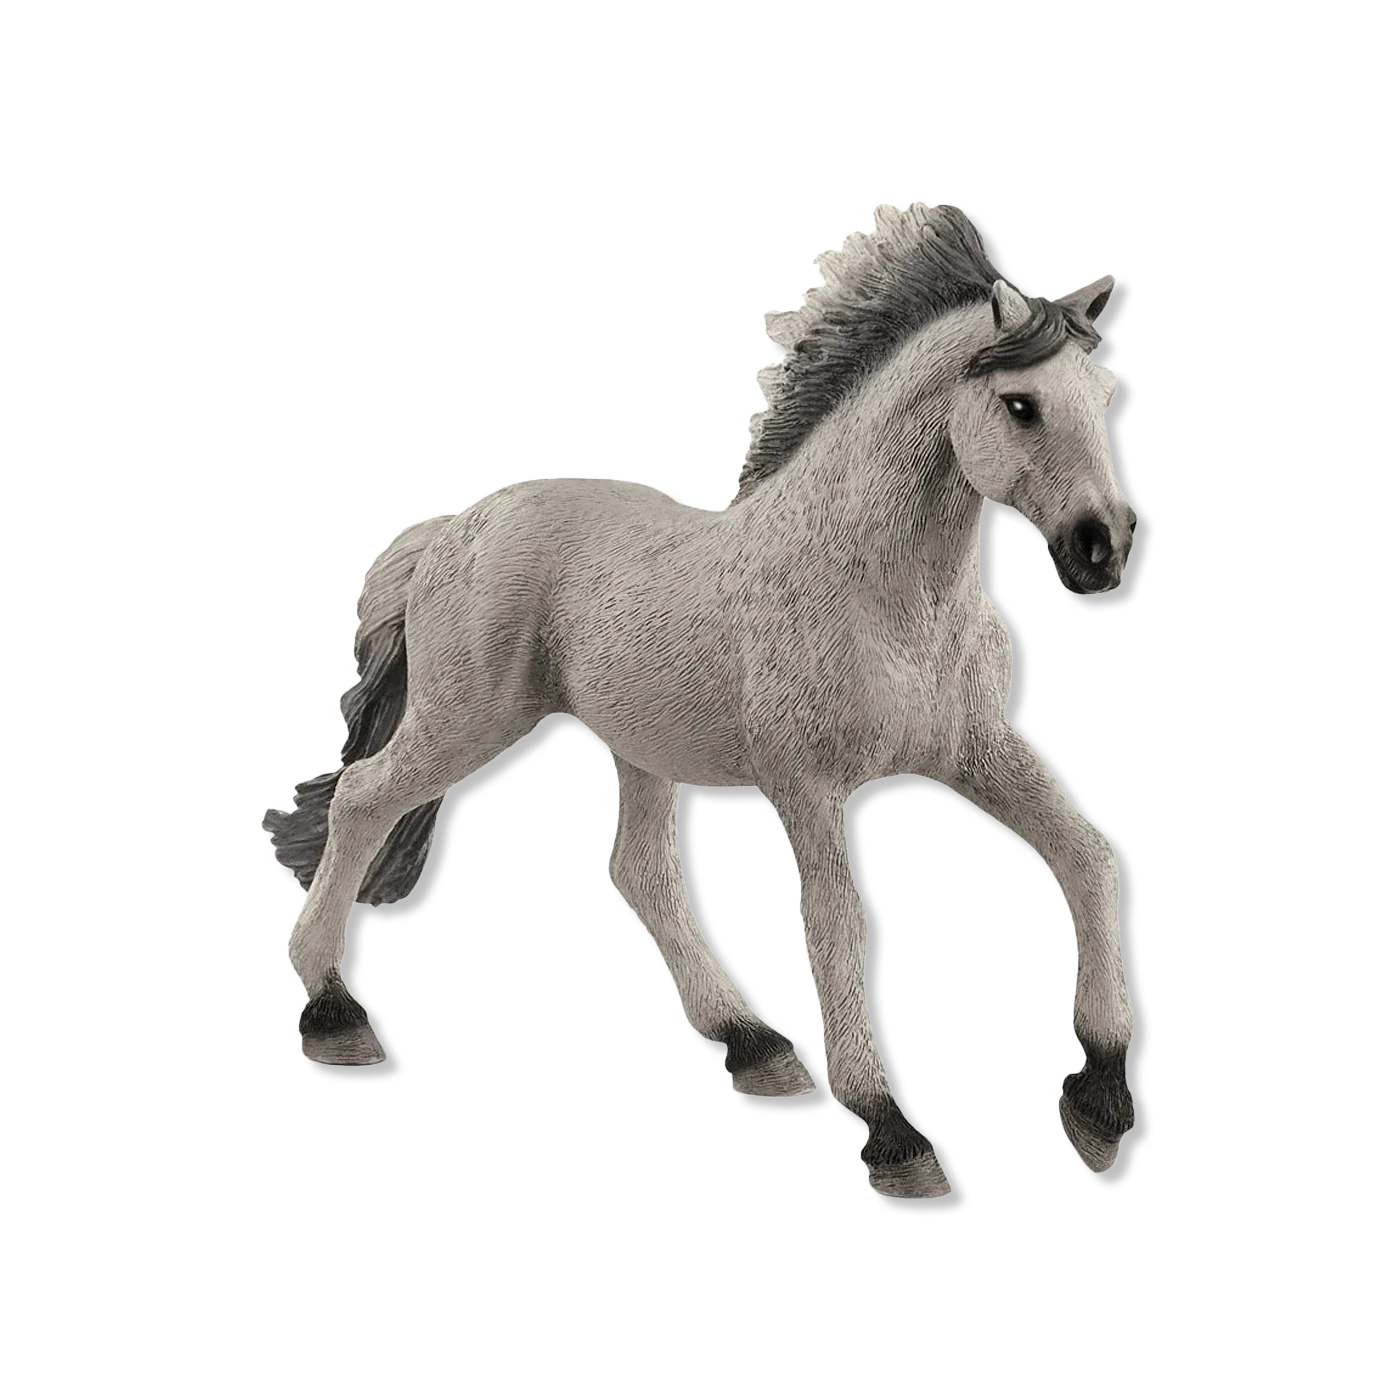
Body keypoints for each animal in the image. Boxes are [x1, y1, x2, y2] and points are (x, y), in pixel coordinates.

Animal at [263, 201, 1136, 1199]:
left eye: (1103, 394)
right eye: (1020, 404)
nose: (1102, 549)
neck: (891, 595)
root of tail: (456, 526)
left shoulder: (976, 746)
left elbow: (1087, 856)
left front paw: (1100, 1104)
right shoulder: (807, 785)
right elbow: (843, 924)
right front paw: (893, 1133)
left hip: (639, 745)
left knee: (639, 869)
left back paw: (754, 1046)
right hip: (468, 717)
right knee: (364, 797)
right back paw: (332, 1013)